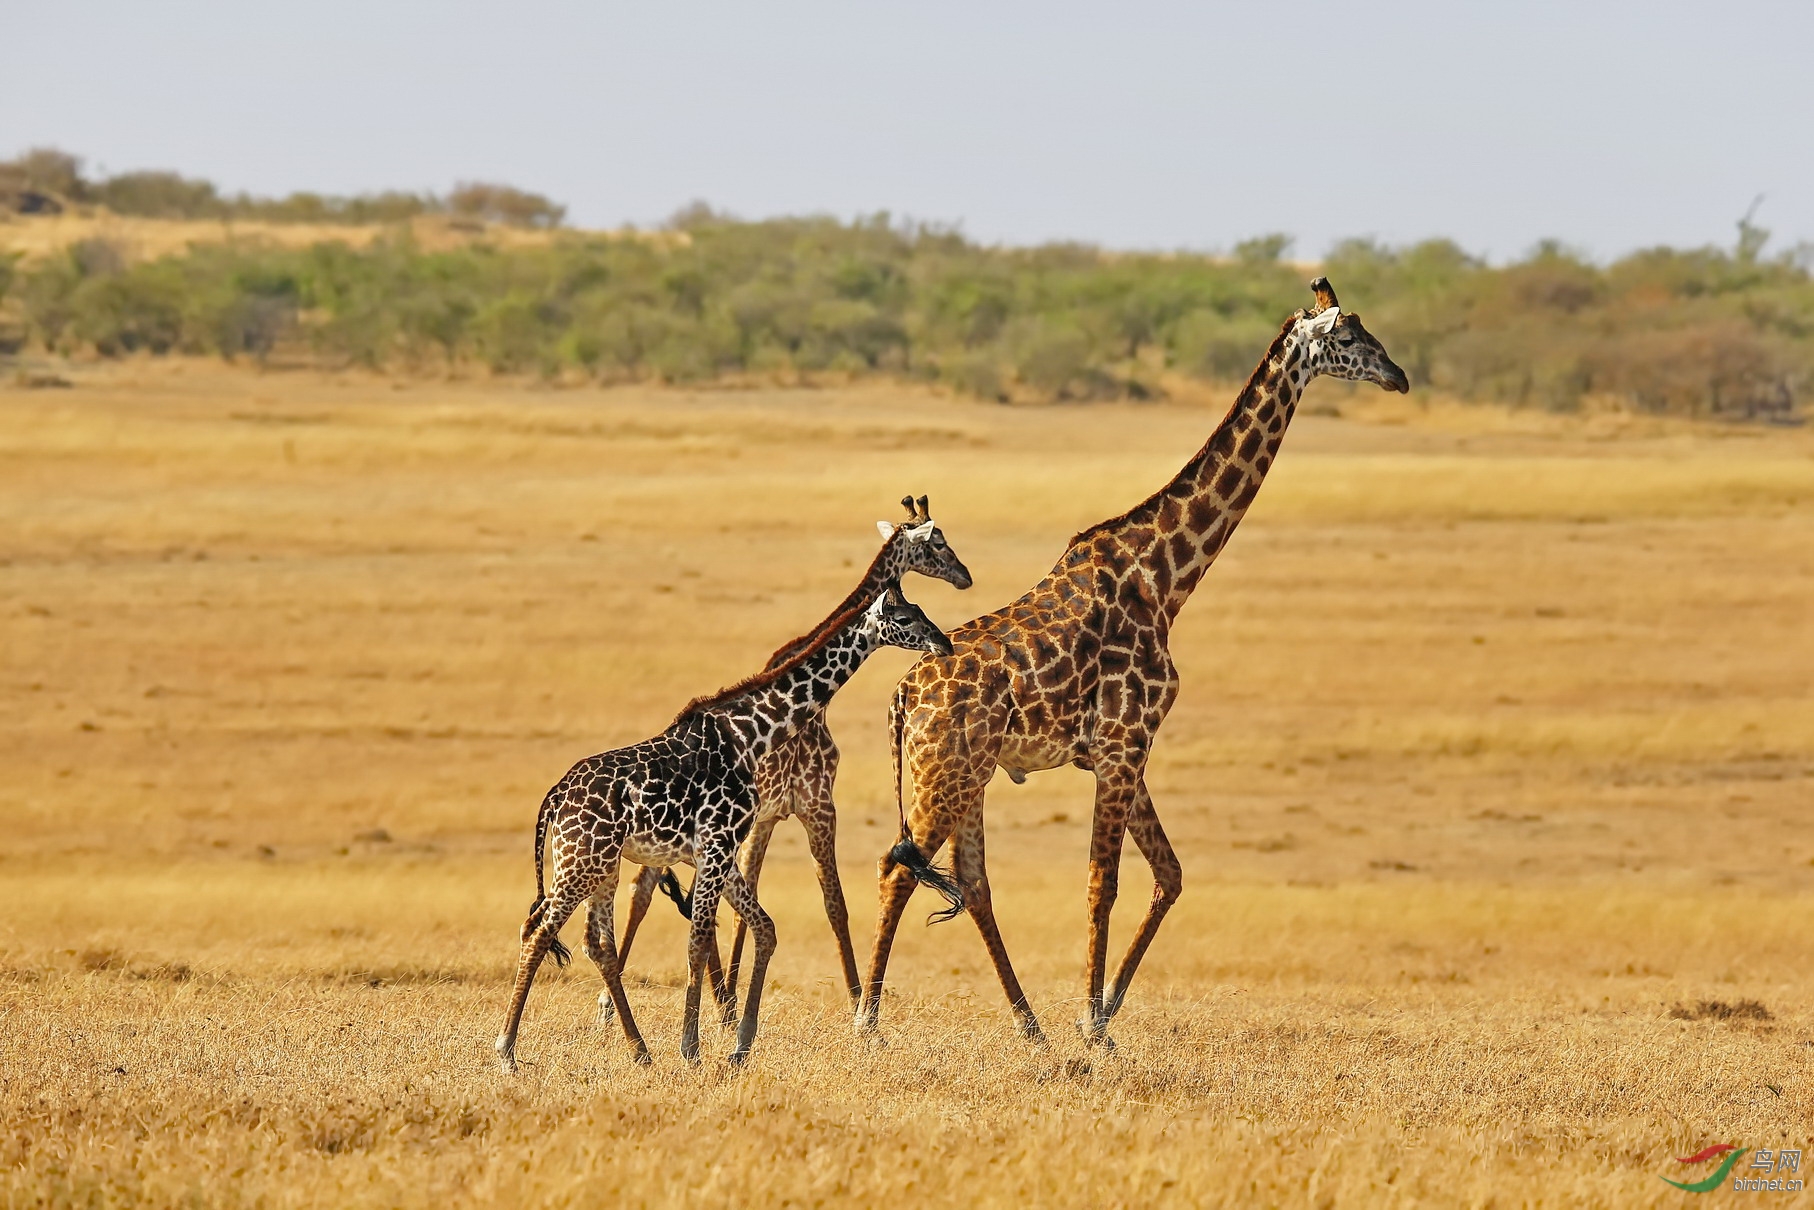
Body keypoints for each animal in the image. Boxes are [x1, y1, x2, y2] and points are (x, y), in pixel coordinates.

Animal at [497, 584, 950, 1066]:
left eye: (920, 609)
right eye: (904, 618)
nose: (943, 643)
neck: (751, 736)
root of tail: (555, 798)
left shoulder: (720, 849)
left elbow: (764, 928)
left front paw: (741, 1042)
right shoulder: (715, 844)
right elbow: (698, 941)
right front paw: (691, 1047)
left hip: (602, 866)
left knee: (593, 943)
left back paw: (639, 1050)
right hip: (581, 862)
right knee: (538, 932)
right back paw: (507, 1050)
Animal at [613, 493, 979, 1015]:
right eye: (940, 542)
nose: (965, 575)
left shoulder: (769, 816)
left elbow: (755, 904)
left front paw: (733, 1002)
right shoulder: (814, 804)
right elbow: (832, 905)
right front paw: (855, 1004)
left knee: (649, 889)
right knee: (646, 891)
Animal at [856, 279, 1407, 1044]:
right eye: (1350, 339)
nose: (1400, 375)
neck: (1166, 578)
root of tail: (903, 697)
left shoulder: (1123, 751)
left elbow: (1168, 874)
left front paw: (1106, 1009)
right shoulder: (1123, 745)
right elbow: (1103, 882)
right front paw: (1093, 1022)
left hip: (969, 775)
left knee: (971, 881)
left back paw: (1029, 1025)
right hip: (944, 773)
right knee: (897, 869)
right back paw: (868, 1023)